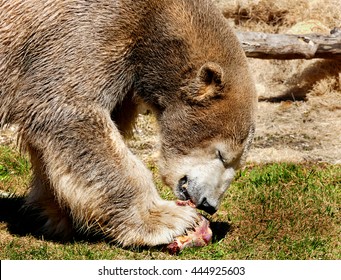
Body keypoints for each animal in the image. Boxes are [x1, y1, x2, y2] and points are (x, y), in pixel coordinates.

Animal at [0, 0, 255, 247]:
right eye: (221, 154)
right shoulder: (89, 27)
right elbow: (68, 109)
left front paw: (59, 213)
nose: (208, 204)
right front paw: (168, 220)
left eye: (237, 163)